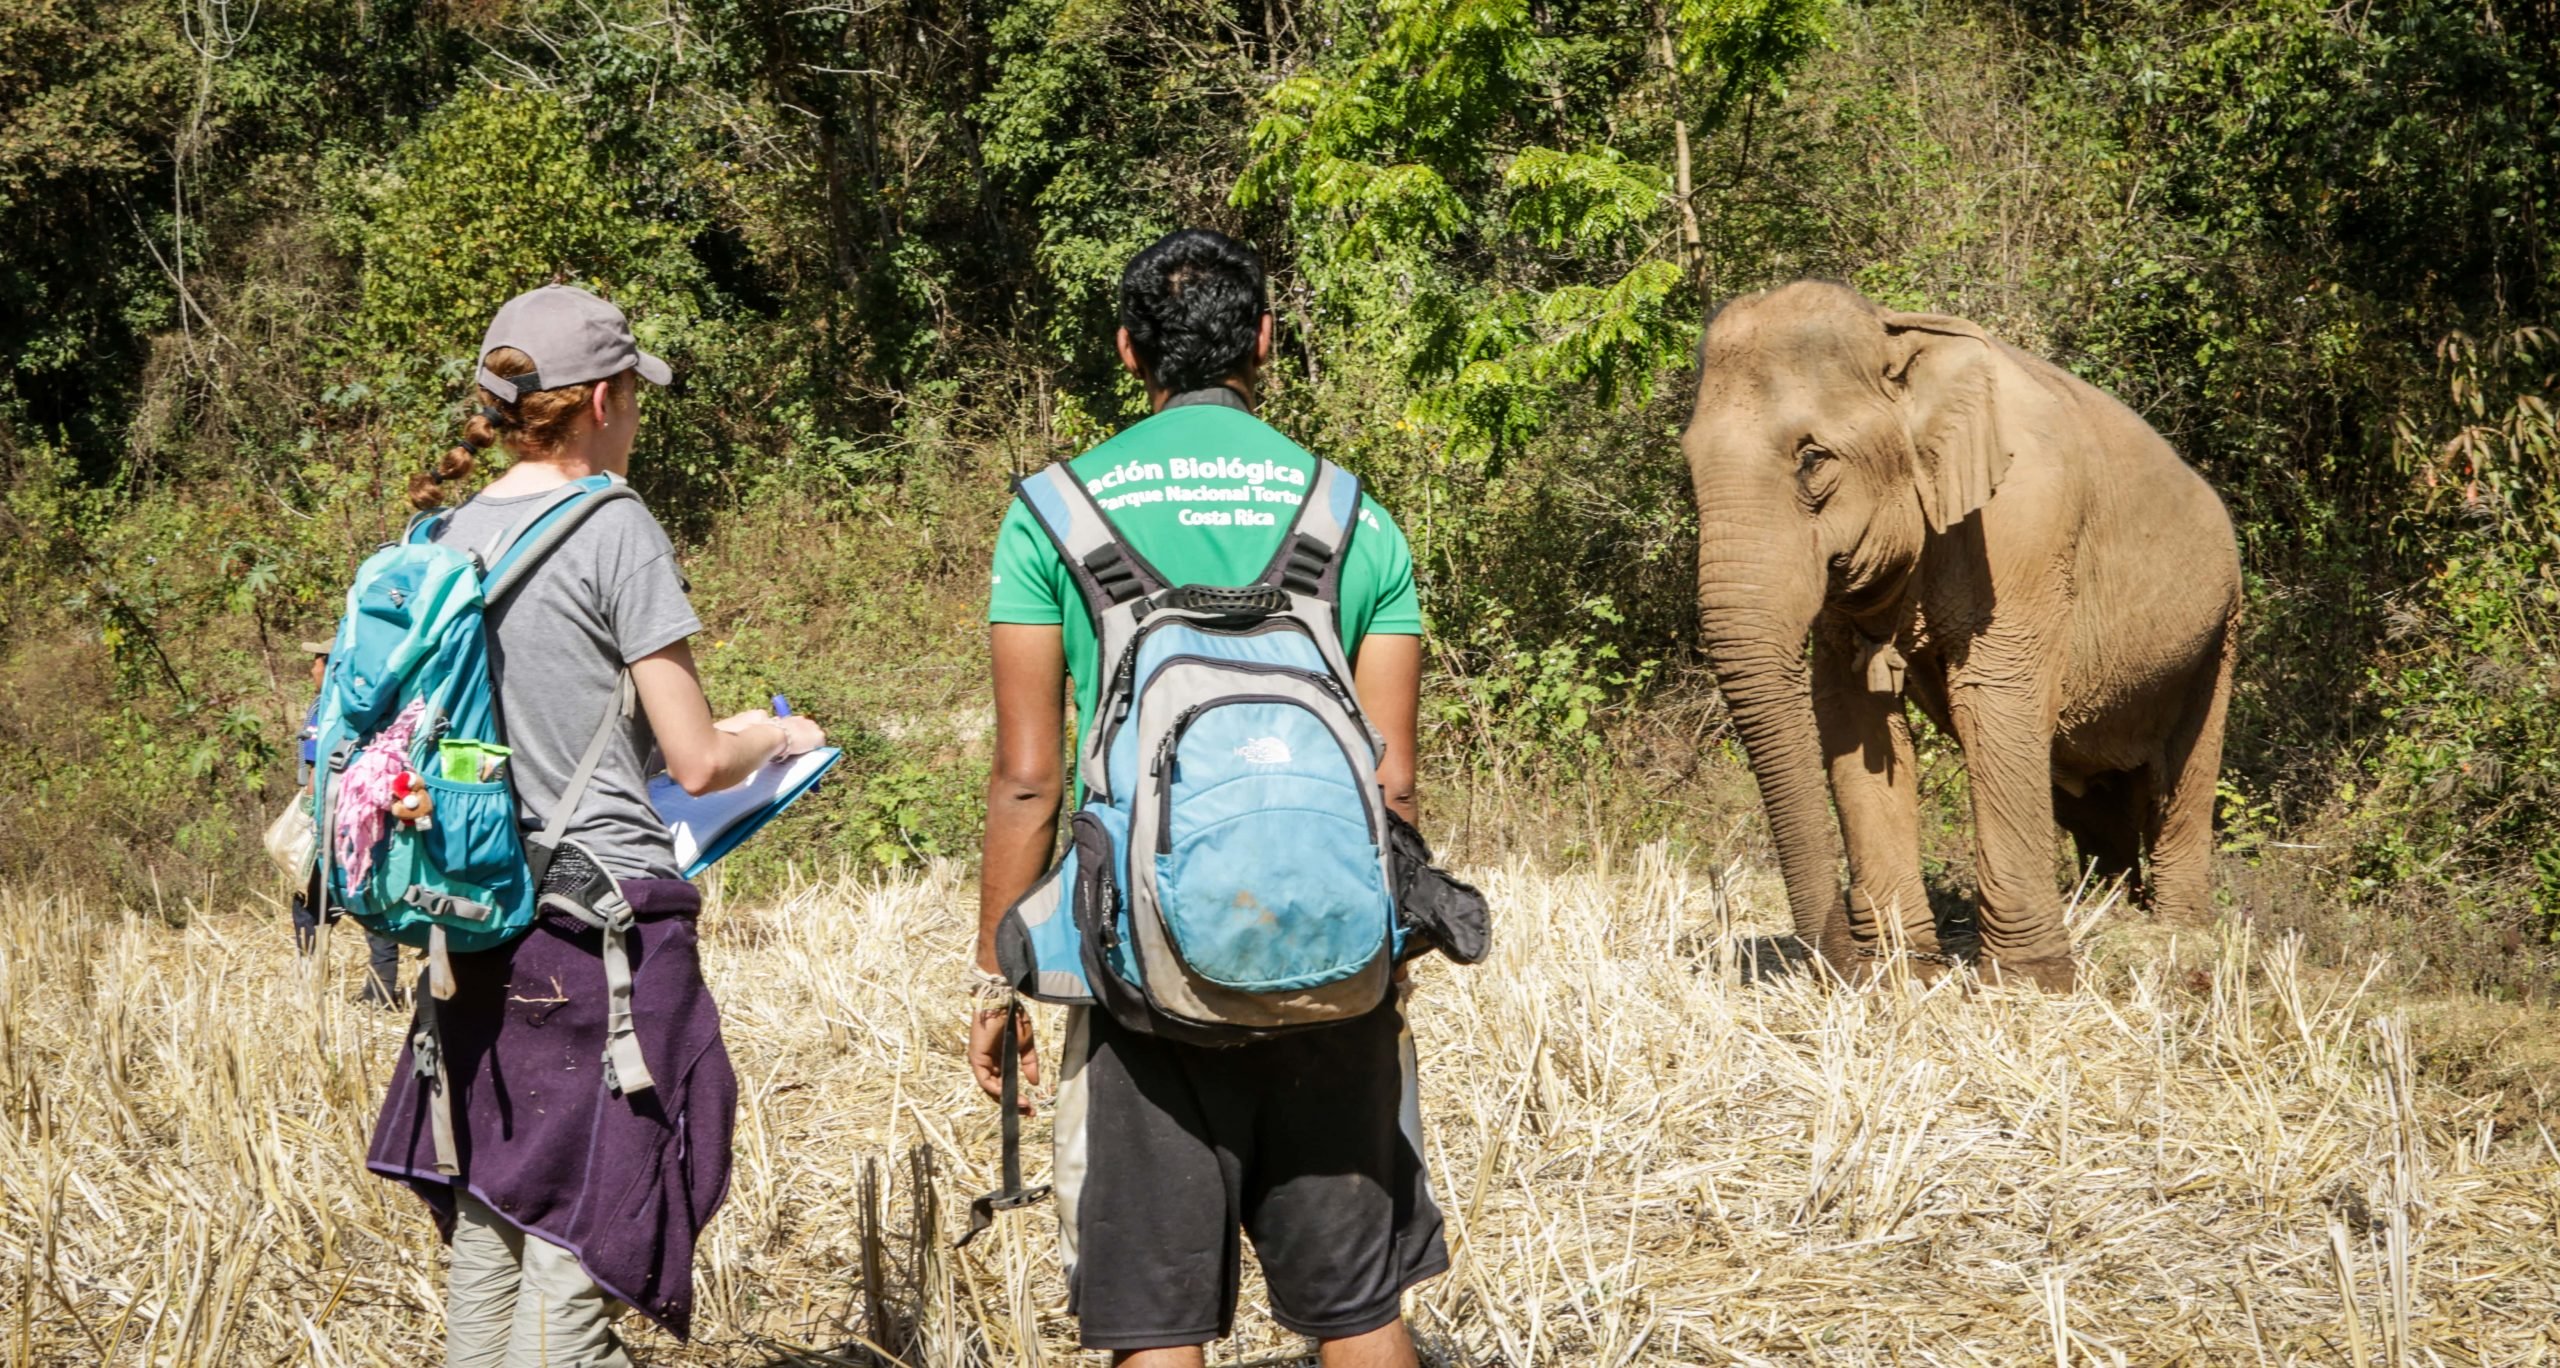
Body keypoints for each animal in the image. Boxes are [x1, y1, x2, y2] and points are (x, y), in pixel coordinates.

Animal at [1689, 284, 2232, 993]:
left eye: (1812, 459)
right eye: (1687, 463)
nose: (1836, 965)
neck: (1898, 338)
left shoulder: (2026, 529)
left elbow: (1994, 700)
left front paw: (2031, 985)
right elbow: (1851, 713)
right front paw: (1899, 973)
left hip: (2219, 630)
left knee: (2186, 771)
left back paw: (2176, 934)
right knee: (2091, 793)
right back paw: (2108, 905)